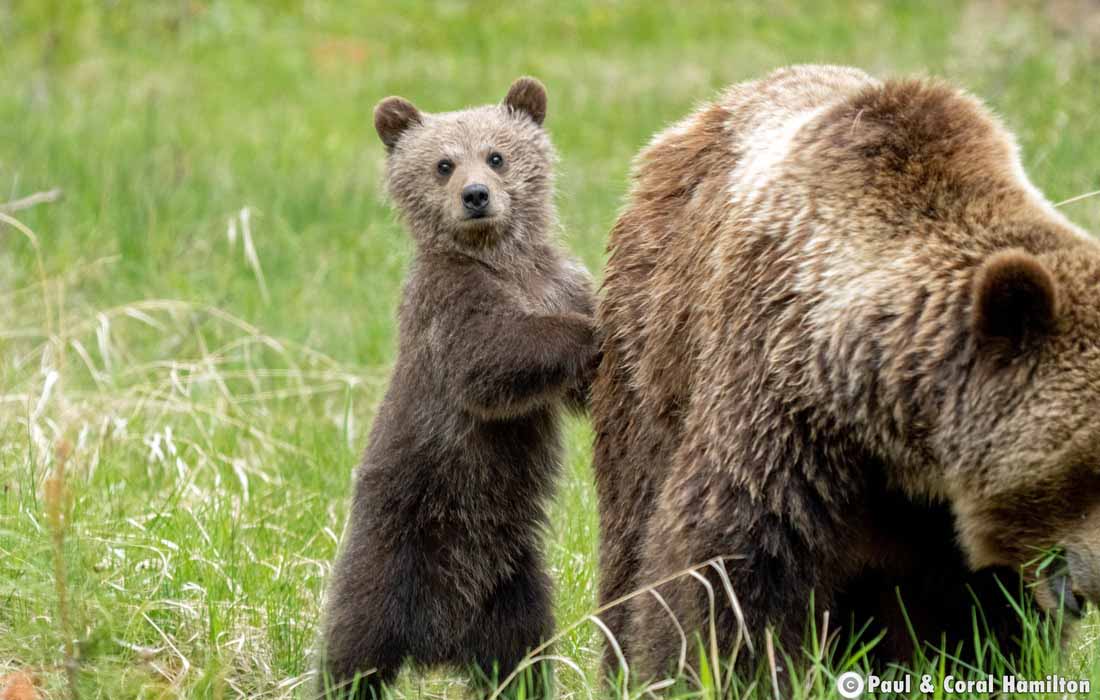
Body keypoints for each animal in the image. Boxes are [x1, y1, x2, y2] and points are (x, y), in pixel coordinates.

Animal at [594, 65, 1100, 677]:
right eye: (1089, 467)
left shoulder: (934, 520)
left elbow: (980, 614)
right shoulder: (778, 398)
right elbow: (730, 562)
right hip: (650, 353)